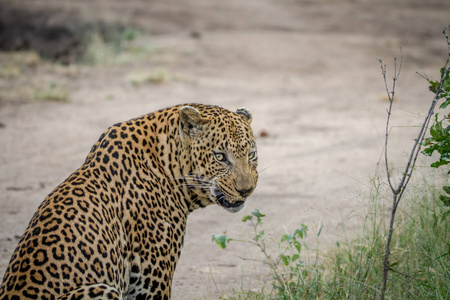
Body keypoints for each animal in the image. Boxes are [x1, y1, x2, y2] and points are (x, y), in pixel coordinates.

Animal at [0, 103, 258, 300]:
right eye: (220, 157)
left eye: (251, 155)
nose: (247, 190)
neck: (167, 163)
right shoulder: (150, 278)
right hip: (101, 289)